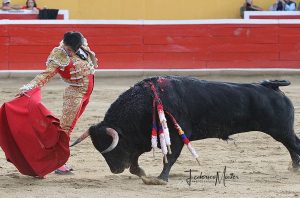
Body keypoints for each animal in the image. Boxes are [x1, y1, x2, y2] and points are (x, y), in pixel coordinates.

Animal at [72, 76, 300, 181]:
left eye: (112, 149)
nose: (115, 170)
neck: (143, 103)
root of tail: (270, 85)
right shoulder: (142, 139)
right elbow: (136, 159)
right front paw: (142, 173)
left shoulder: (176, 136)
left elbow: (170, 158)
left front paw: (161, 179)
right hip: (282, 132)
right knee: (292, 148)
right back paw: (294, 168)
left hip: (282, 130)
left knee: (294, 145)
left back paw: (296, 169)